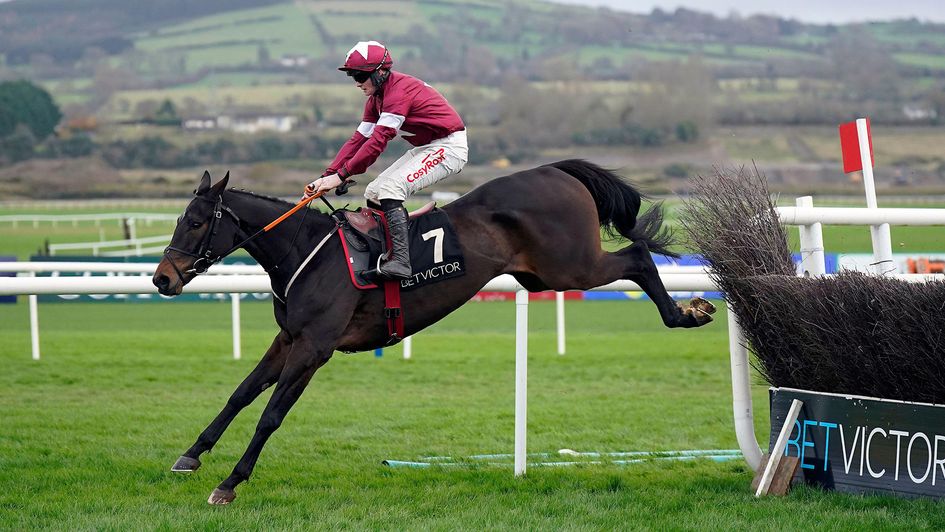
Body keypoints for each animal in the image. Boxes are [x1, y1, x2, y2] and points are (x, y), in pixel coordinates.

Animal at [153, 160, 716, 504]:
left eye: (197, 222)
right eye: (178, 219)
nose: (162, 279)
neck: (304, 251)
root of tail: (554, 170)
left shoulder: (315, 348)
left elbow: (271, 414)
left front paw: (230, 482)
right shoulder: (289, 339)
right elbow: (240, 393)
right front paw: (191, 455)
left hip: (570, 267)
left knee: (638, 255)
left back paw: (686, 312)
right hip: (543, 276)